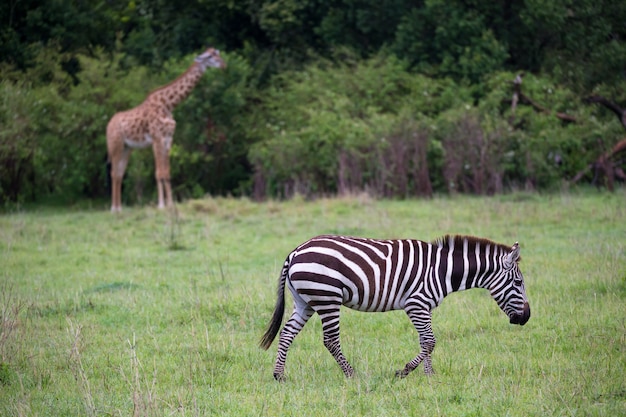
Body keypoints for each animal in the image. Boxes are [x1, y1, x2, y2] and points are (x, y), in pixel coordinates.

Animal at [106, 47, 225, 213]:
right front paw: (161, 205)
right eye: (209, 56)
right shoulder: (157, 139)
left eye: (217, 54)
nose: (224, 65)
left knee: (119, 173)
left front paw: (170, 203)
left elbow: (167, 172)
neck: (169, 105)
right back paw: (113, 209)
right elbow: (159, 173)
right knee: (113, 172)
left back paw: (120, 208)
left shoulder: (168, 139)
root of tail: (108, 125)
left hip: (126, 148)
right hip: (115, 145)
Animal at [260, 232, 528, 378]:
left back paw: (279, 375)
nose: (525, 318)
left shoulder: (424, 307)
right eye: (518, 282)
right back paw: (352, 375)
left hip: (305, 301)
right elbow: (430, 341)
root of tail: (295, 251)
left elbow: (425, 341)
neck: (443, 270)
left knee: (286, 334)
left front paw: (429, 375)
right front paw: (404, 372)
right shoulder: (416, 304)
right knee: (330, 340)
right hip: (328, 298)